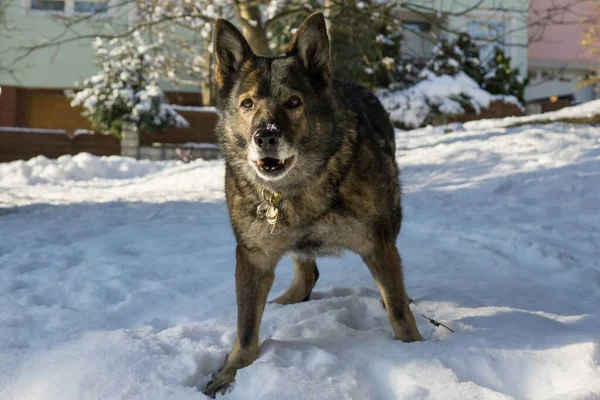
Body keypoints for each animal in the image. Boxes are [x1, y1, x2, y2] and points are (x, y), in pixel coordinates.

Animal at [205, 11, 422, 396]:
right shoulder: (253, 257)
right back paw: (285, 303)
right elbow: (246, 327)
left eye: (293, 102)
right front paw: (231, 371)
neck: (297, 186)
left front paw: (417, 349)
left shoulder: (378, 244)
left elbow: (398, 309)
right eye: (247, 104)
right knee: (307, 271)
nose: (266, 137)